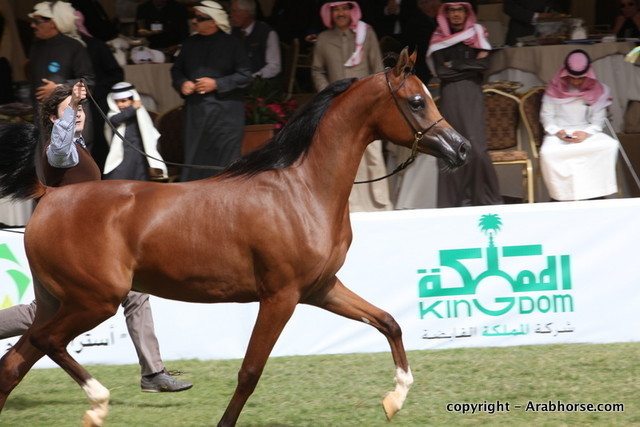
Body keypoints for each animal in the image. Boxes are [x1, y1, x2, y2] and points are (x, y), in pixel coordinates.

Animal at [0, 49, 469, 426]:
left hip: (58, 300)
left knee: (15, 362)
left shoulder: (321, 288)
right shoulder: (280, 297)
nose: (460, 148)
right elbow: (249, 372)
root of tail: (50, 195)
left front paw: (395, 398)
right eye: (416, 101)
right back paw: (98, 403)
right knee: (46, 342)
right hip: (95, 300)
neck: (303, 191)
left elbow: (388, 322)